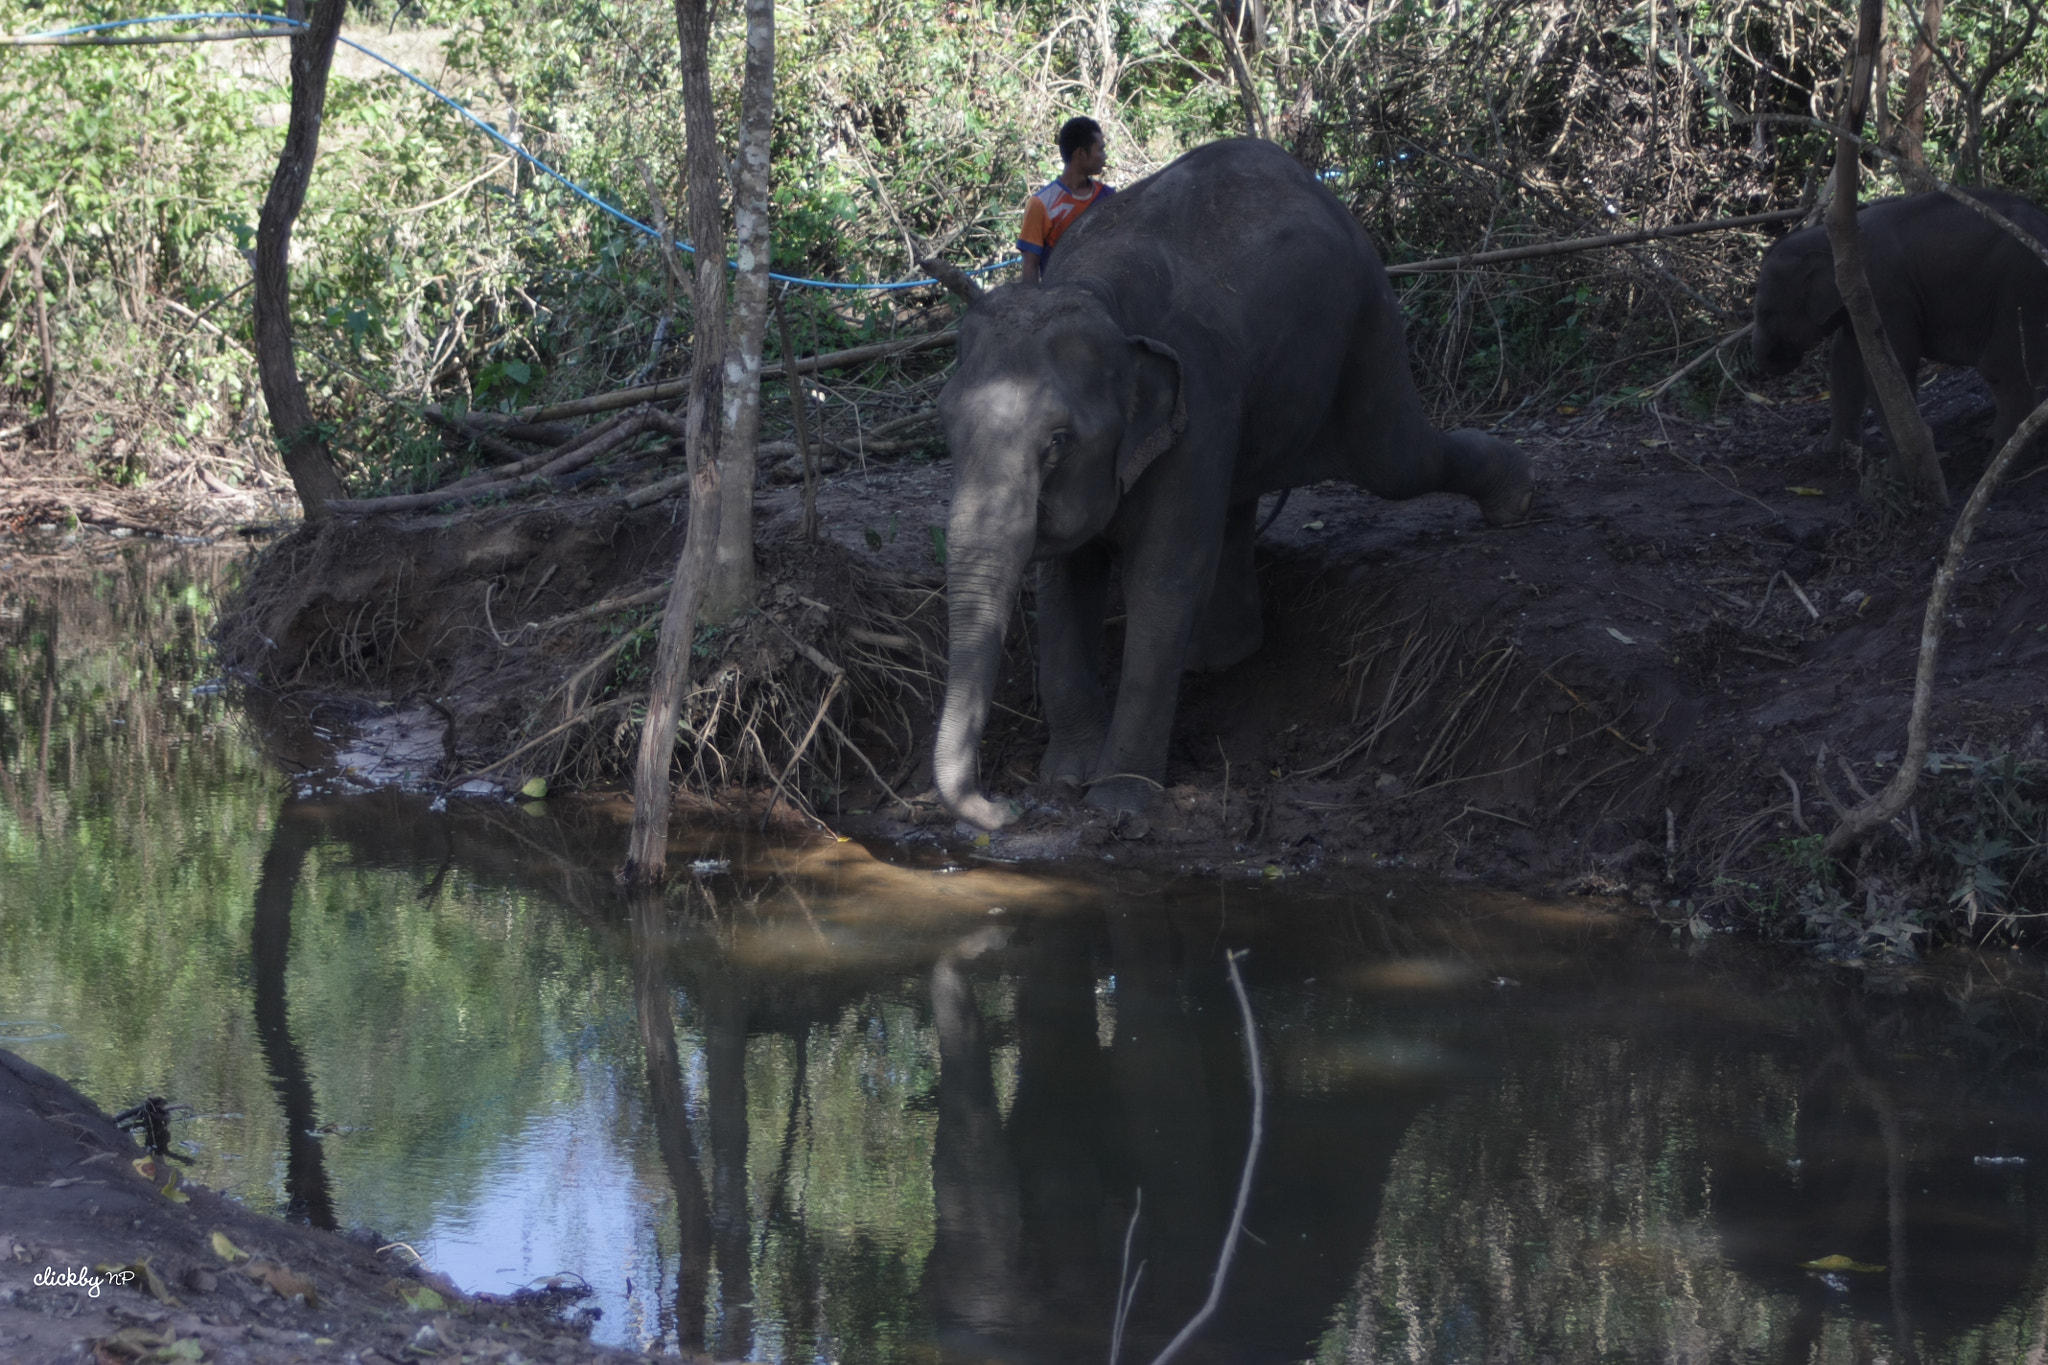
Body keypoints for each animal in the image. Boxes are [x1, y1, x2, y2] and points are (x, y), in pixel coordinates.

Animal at [932, 138, 1533, 831]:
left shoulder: (1201, 398)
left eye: (1058, 441)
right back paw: (1222, 655)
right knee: (1248, 499)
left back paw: (1518, 500)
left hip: (1368, 322)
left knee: (1398, 461)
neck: (1096, 289)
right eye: (945, 424)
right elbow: (1063, 584)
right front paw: (1065, 780)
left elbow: (1164, 577)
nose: (1004, 808)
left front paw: (1117, 804)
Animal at [1751, 189, 2048, 457]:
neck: (1829, 239)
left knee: (2003, 367)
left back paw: (2000, 458)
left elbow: (1891, 370)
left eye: (1766, 312)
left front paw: (1899, 467)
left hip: (2021, 284)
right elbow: (1845, 362)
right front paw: (1832, 452)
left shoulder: (1886, 294)